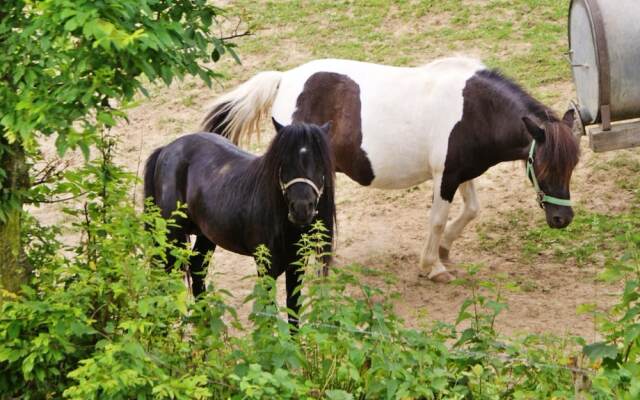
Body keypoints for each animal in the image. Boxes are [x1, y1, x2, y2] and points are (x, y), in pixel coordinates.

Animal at [144, 120, 336, 324]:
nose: (301, 209)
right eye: (284, 162)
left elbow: (293, 310)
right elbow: (268, 310)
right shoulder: (265, 266)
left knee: (197, 268)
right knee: (163, 272)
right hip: (170, 235)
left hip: (206, 235)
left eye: (320, 164)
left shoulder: (297, 264)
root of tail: (167, 149)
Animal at [204, 56, 580, 282]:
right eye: (543, 165)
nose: (562, 219)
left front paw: (445, 250)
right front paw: (432, 266)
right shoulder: (445, 177)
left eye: (573, 164)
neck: (474, 109)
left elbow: (472, 209)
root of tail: (284, 79)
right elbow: (437, 219)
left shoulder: (459, 172)